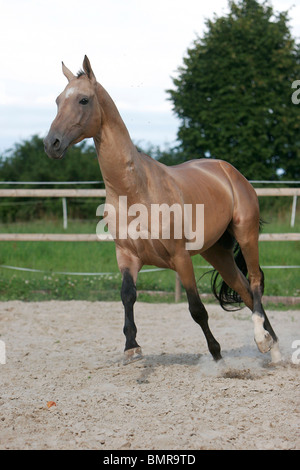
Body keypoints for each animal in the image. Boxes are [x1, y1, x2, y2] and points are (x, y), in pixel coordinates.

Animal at [44, 55, 282, 364]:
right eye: (58, 100)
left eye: (84, 100)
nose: (51, 143)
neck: (135, 191)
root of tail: (229, 171)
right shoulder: (127, 256)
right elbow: (127, 295)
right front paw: (131, 347)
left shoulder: (180, 258)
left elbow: (196, 309)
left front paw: (217, 357)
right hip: (215, 251)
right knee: (244, 289)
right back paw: (272, 346)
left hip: (246, 233)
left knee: (255, 282)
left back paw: (265, 344)